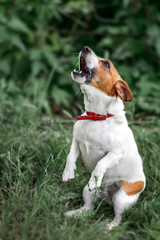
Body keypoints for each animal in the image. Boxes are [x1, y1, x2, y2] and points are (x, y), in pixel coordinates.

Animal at [62, 46, 146, 229]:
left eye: (106, 64)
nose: (85, 48)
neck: (97, 117)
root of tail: (107, 198)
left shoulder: (115, 153)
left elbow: (101, 164)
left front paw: (95, 179)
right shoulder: (77, 141)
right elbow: (70, 157)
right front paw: (68, 173)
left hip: (122, 198)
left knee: (119, 216)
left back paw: (111, 227)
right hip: (86, 192)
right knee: (88, 208)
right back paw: (74, 214)